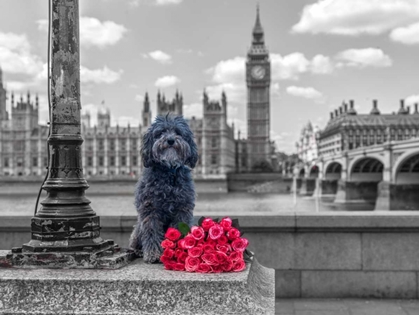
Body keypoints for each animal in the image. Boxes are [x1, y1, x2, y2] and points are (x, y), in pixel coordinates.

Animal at [129, 115, 198, 262]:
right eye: (160, 132)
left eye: (178, 132)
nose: (170, 140)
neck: (168, 171)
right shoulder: (150, 210)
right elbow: (152, 232)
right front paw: (154, 254)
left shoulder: (182, 210)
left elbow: (178, 230)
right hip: (138, 229)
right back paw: (139, 251)